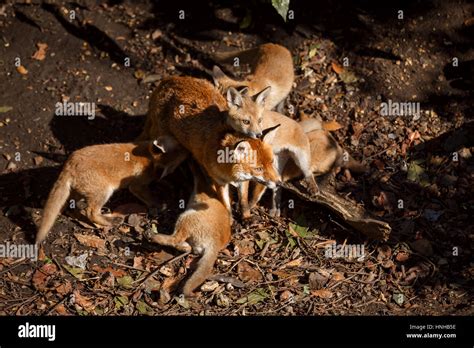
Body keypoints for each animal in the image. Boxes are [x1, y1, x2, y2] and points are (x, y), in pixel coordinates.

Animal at [34, 137, 187, 245]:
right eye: (179, 148)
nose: (188, 151)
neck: (147, 157)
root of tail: (69, 163)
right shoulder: (137, 185)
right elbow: (148, 196)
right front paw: (159, 204)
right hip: (104, 192)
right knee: (91, 212)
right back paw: (111, 221)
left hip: (78, 192)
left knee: (71, 205)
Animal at [137, 76, 280, 212]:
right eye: (259, 169)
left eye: (272, 162)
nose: (279, 183)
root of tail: (167, 80)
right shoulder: (220, 182)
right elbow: (226, 207)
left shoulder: (243, 181)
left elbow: (244, 202)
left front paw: (246, 217)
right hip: (168, 141)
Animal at [146, 160, 231, 296]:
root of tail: (216, 243)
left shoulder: (200, 181)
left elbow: (197, 171)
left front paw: (192, 162)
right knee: (187, 247)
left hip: (186, 217)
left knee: (175, 239)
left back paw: (154, 236)